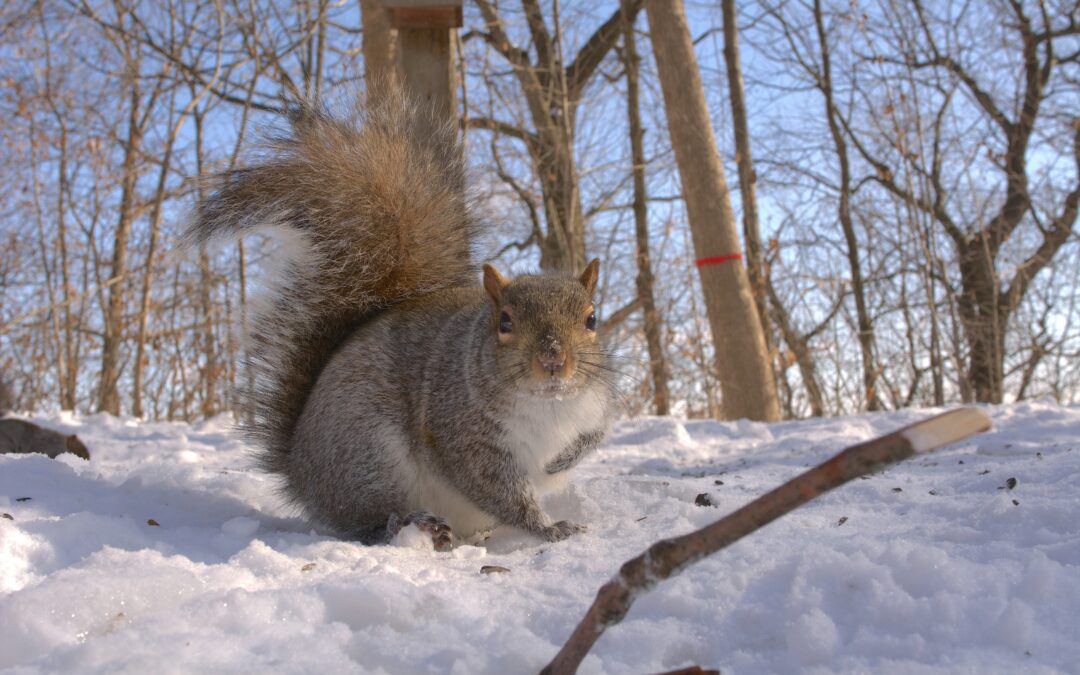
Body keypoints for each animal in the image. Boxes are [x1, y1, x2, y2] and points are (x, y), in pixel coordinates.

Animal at [188, 88, 616, 550]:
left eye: (592, 319)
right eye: (504, 322)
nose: (553, 359)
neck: (548, 404)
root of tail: (300, 474)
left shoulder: (596, 404)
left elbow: (594, 437)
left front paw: (560, 464)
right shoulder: (462, 432)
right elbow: (498, 489)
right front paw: (550, 528)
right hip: (368, 457)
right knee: (367, 523)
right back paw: (413, 524)